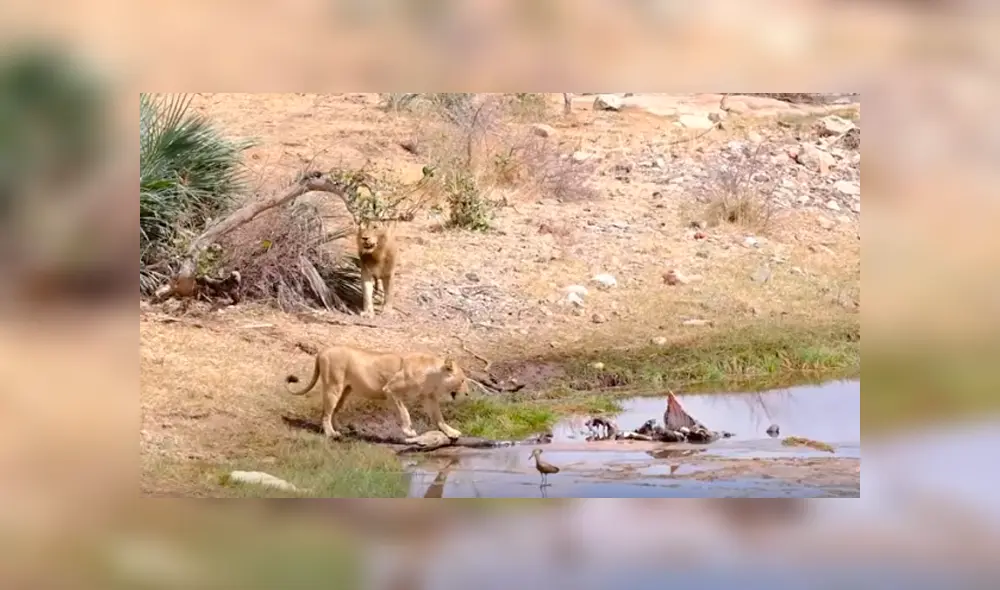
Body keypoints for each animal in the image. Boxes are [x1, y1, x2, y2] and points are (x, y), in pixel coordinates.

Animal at [284, 345, 470, 440]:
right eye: (462, 380)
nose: (468, 394)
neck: (433, 376)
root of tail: (322, 351)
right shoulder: (390, 390)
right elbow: (404, 413)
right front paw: (408, 431)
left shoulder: (429, 398)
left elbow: (439, 418)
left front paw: (451, 432)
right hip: (333, 387)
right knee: (326, 413)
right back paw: (331, 433)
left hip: (345, 391)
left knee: (333, 411)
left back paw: (341, 429)